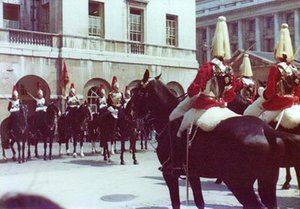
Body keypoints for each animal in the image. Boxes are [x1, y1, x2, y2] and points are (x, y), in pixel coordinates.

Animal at [127, 70, 300, 209]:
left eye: (137, 92)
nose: (127, 112)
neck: (170, 120)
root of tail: (266, 130)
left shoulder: (170, 174)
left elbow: (176, 203)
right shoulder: (193, 174)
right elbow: (199, 202)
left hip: (239, 184)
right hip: (266, 181)